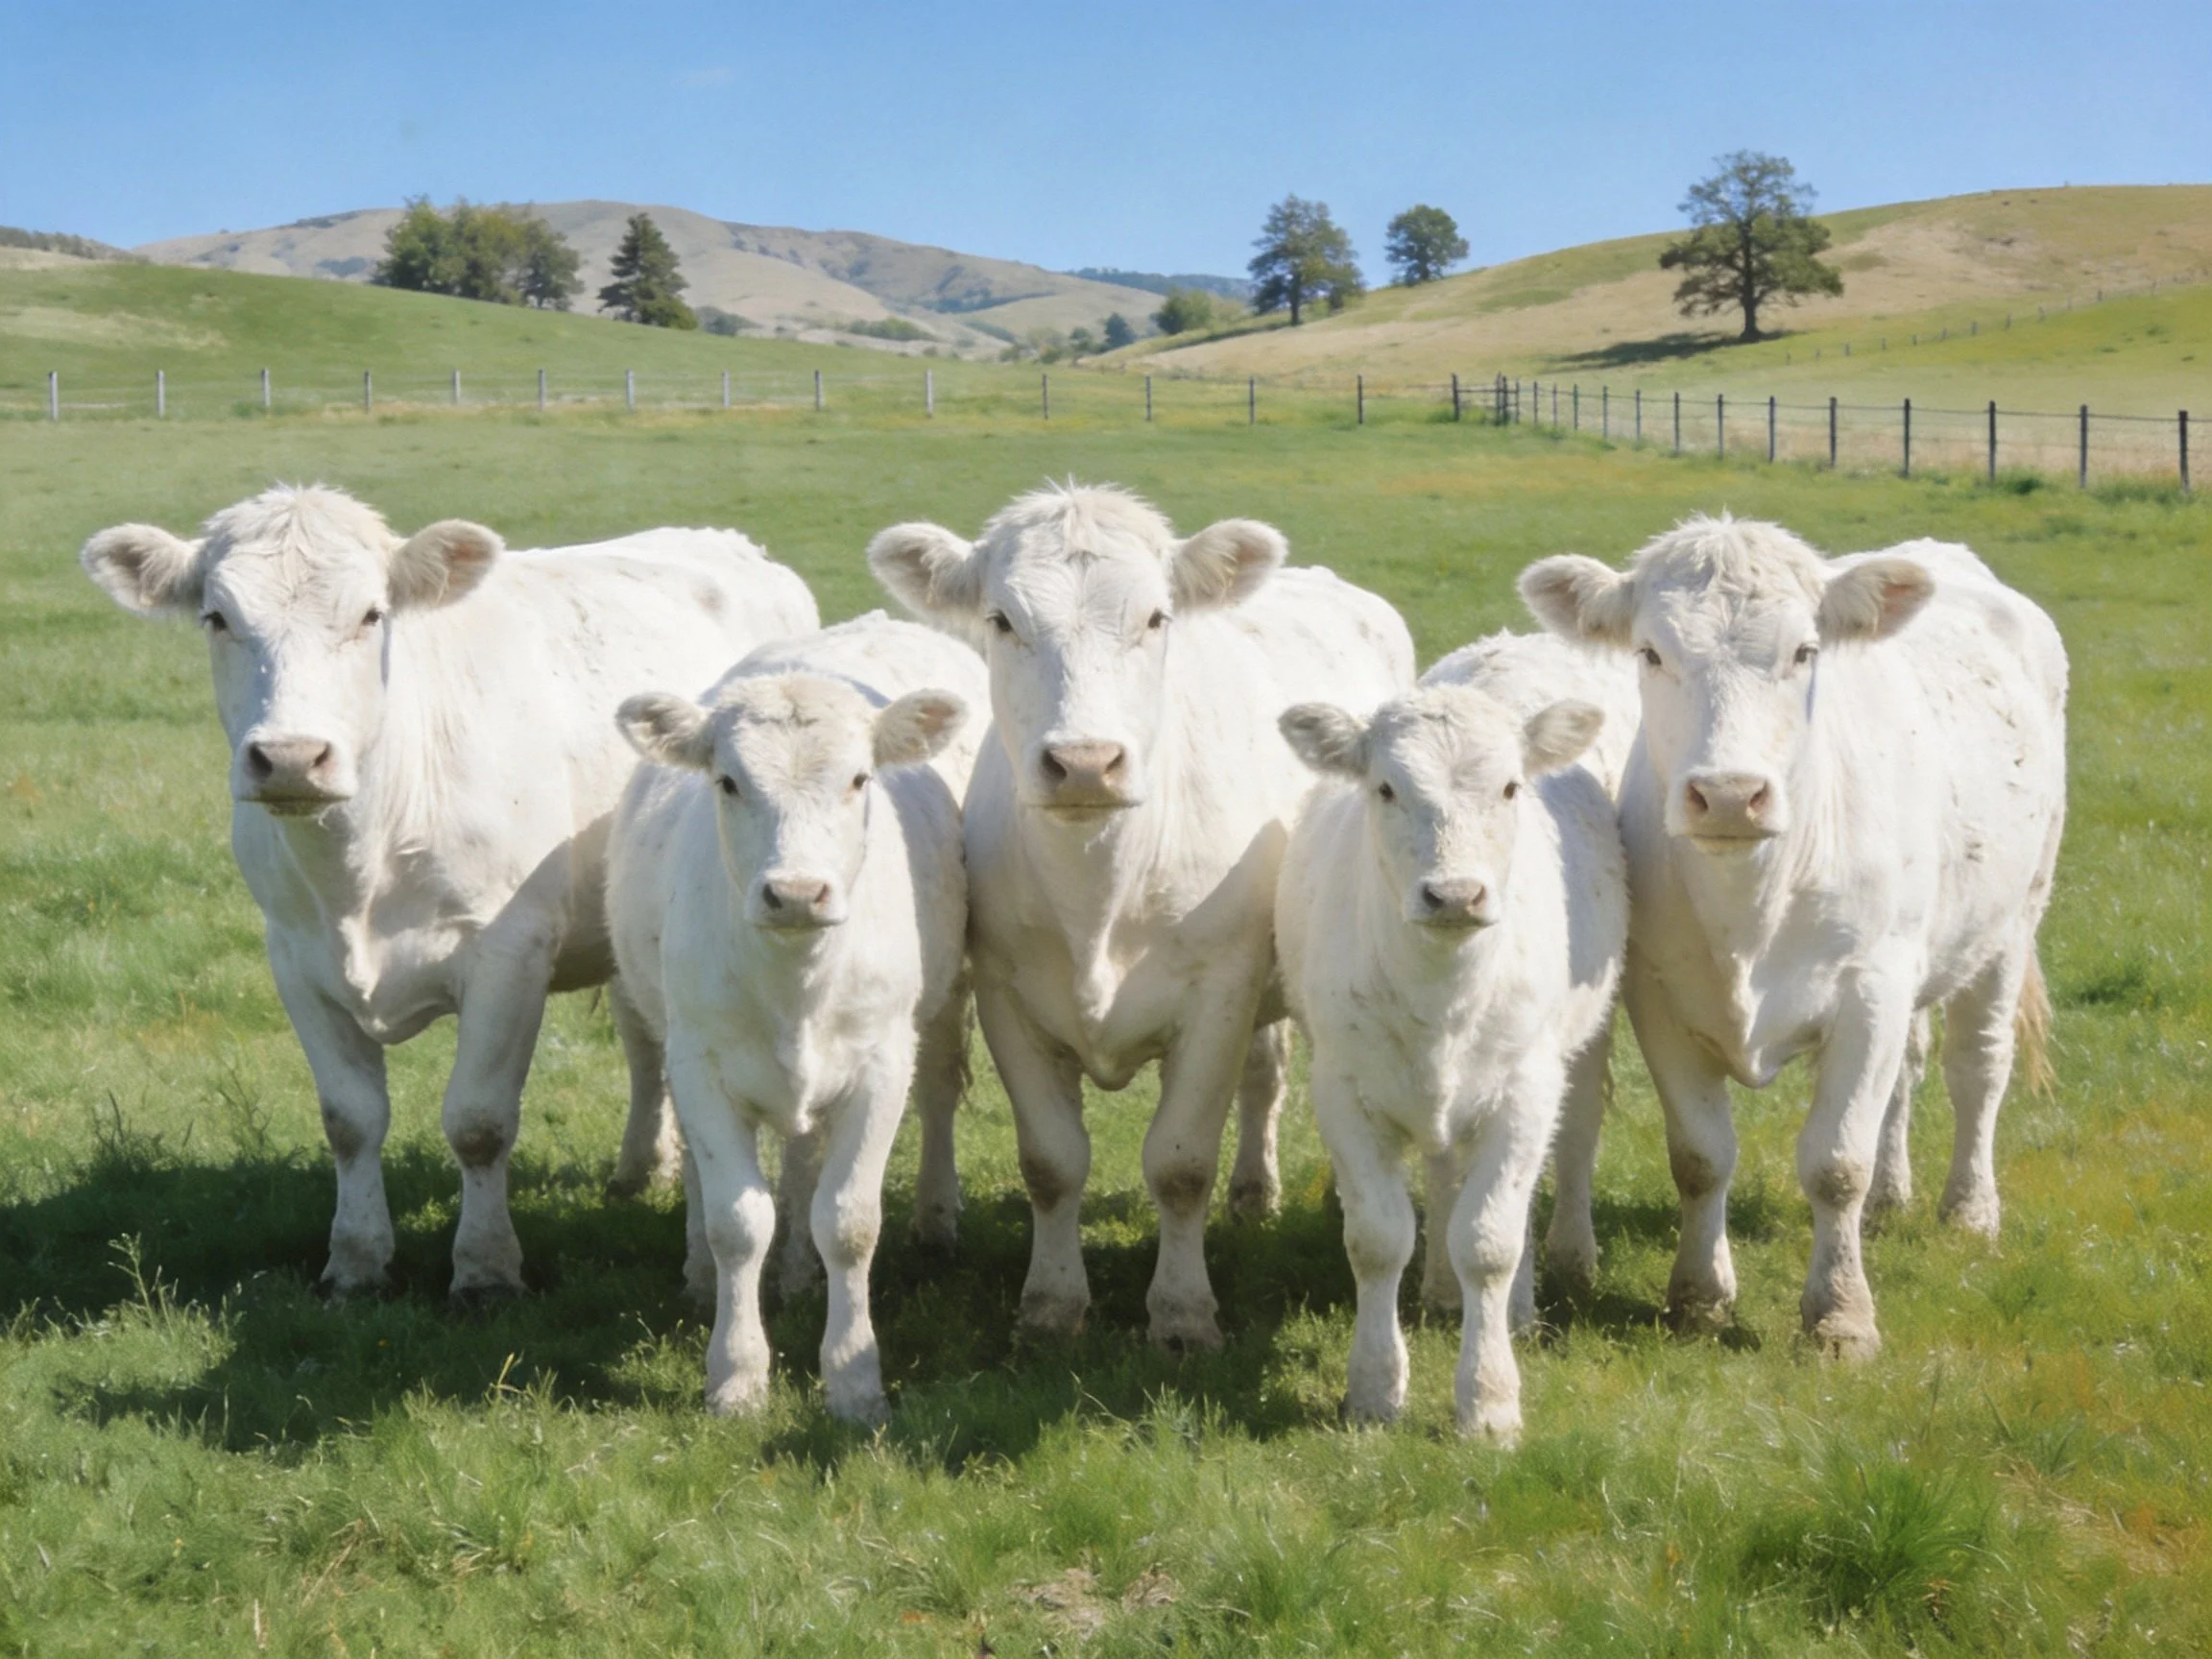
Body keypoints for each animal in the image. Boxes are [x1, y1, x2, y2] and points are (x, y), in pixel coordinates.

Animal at [77, 485, 819, 1301]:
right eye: (217, 617)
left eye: (372, 615)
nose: (293, 758)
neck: (360, 866)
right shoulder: (295, 961)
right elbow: (350, 1119)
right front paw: (356, 1260)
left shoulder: (508, 956)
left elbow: (479, 1121)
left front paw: (485, 1268)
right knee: (645, 1038)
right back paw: (639, 1168)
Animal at [607, 614, 983, 1421]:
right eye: (727, 781)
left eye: (860, 778)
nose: (798, 893)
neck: (796, 980)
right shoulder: (701, 1063)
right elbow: (737, 1222)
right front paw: (737, 1373)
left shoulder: (880, 1065)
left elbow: (848, 1220)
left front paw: (852, 1376)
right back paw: (708, 1273)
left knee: (915, 1106)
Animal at [868, 482, 1414, 1350]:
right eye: (1001, 620)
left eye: (1157, 618)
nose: (1085, 762)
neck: (1098, 895)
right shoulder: (1005, 993)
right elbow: (1051, 1161)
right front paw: (1051, 1304)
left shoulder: (1219, 993)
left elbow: (1181, 1163)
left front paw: (1183, 1312)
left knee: (1267, 1077)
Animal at [1277, 683, 1626, 1442]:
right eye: (1385, 787)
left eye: (1510, 786)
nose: (1456, 895)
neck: (1442, 990)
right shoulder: (1343, 1093)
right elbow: (1377, 1239)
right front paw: (1374, 1388)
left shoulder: (1525, 1093)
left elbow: (1490, 1240)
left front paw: (1489, 1400)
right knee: (1441, 1175)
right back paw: (1439, 1288)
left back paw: (1518, 1308)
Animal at [1520, 516, 2067, 1358]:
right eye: (1651, 652)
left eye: (1805, 651)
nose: (1727, 795)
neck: (1750, 903)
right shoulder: (1660, 997)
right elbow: (1701, 1156)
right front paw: (1698, 1297)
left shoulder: (1869, 992)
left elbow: (1837, 1162)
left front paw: (1840, 1316)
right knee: (1909, 1071)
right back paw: (1894, 1196)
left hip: (2011, 923)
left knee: (1977, 1069)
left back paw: (1969, 1211)